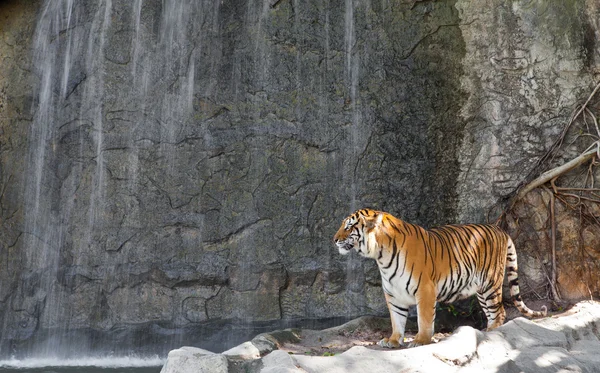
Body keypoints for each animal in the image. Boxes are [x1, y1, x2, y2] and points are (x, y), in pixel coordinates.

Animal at [332, 208, 548, 348]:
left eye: (348, 227)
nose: (334, 240)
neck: (381, 255)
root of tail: (500, 230)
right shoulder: (394, 294)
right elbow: (397, 319)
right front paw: (392, 340)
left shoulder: (425, 289)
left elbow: (424, 318)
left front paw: (421, 340)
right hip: (481, 290)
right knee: (492, 312)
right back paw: (484, 332)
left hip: (490, 284)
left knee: (500, 312)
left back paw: (491, 332)